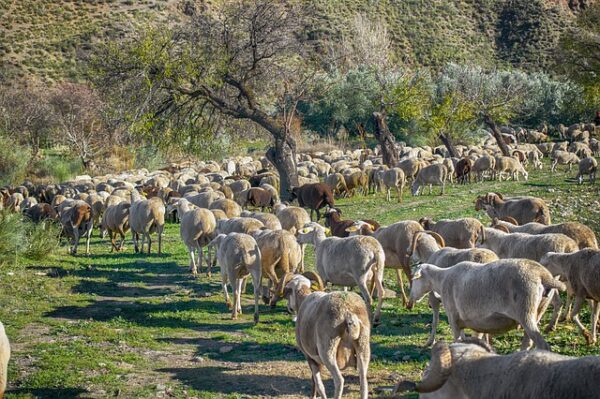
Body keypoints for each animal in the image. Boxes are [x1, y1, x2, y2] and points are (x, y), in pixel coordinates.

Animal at [410, 260, 564, 350]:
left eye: (414, 279)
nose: (411, 298)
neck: (441, 279)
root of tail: (543, 274)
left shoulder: (453, 317)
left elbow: (458, 340)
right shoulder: (472, 321)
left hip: (526, 310)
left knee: (542, 345)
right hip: (539, 309)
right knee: (528, 343)